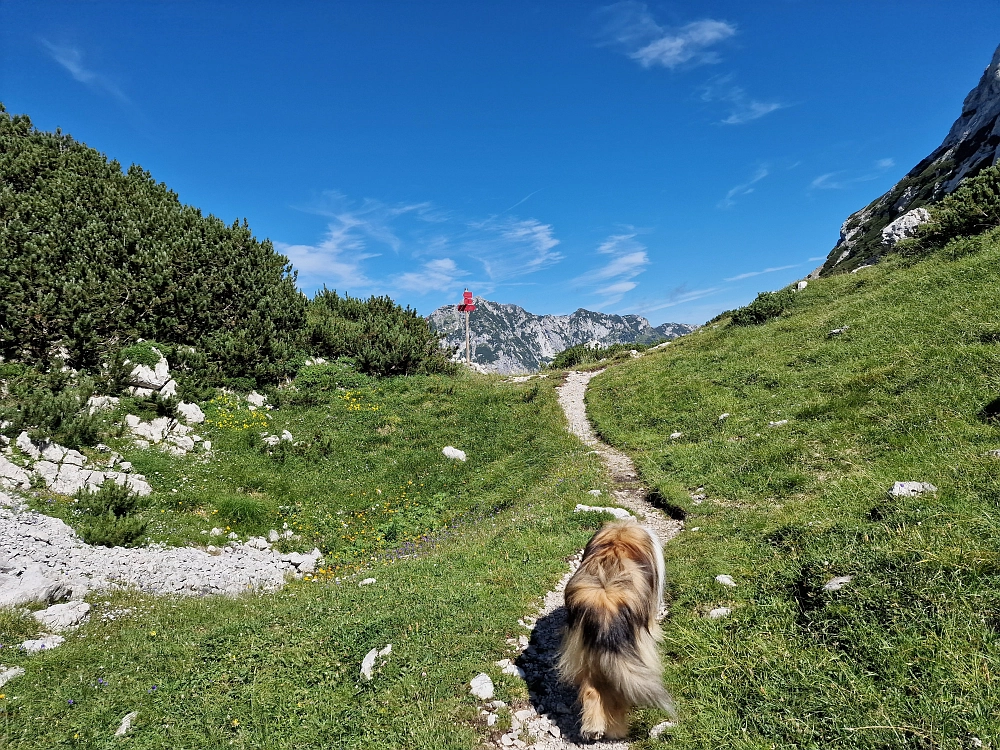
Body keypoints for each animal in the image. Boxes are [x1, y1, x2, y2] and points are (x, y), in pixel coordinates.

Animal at [560, 520, 676, 744]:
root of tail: (604, 610)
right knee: (618, 696)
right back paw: (617, 730)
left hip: (583, 653)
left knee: (590, 690)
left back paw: (593, 729)